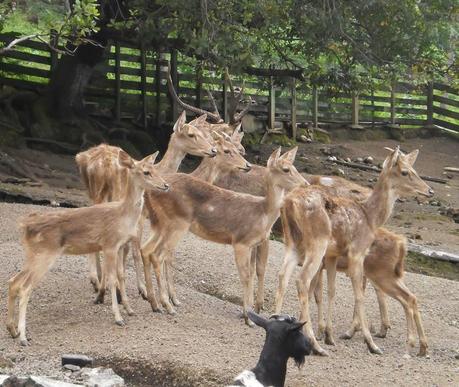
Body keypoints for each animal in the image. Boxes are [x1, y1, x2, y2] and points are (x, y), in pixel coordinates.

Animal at [6, 149, 169, 346]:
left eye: (156, 169)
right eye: (146, 172)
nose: (166, 185)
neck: (123, 215)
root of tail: (24, 227)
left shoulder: (120, 245)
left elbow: (121, 276)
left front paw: (129, 310)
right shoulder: (109, 244)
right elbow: (112, 279)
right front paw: (118, 318)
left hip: (32, 255)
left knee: (13, 281)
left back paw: (12, 330)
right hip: (45, 255)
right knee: (25, 288)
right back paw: (23, 337)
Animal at [75, 110, 217, 298]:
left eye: (203, 133)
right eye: (191, 134)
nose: (213, 150)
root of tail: (84, 159)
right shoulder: (141, 214)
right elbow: (134, 249)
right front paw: (141, 289)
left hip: (93, 193)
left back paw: (97, 280)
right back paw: (98, 281)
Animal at [140, 147, 306, 322]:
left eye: (295, 167)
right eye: (286, 169)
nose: (306, 183)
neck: (263, 213)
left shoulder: (252, 244)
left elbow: (252, 273)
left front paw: (248, 312)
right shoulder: (241, 241)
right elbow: (246, 276)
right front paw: (249, 317)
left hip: (160, 223)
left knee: (147, 249)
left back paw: (155, 303)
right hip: (177, 223)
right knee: (158, 255)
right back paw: (167, 305)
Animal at [274, 149, 434, 358]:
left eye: (415, 169)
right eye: (405, 172)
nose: (429, 190)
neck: (370, 217)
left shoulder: (332, 256)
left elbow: (331, 291)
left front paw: (329, 335)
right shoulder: (357, 252)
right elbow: (358, 295)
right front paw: (370, 343)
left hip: (293, 243)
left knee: (283, 276)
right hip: (318, 243)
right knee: (302, 280)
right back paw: (316, 345)